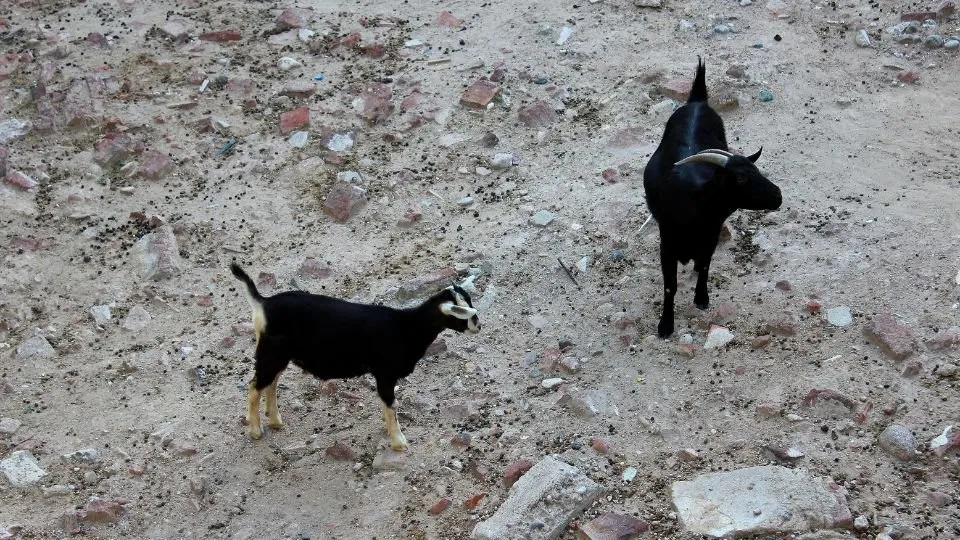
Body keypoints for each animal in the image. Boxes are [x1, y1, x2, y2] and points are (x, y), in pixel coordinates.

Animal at [230, 263, 481, 451]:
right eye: (463, 313)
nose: (478, 326)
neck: (406, 327)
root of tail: (263, 303)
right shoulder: (385, 374)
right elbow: (391, 404)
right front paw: (399, 442)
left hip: (279, 356)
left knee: (270, 384)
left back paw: (275, 421)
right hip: (272, 354)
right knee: (255, 386)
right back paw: (255, 431)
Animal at [643, 58, 783, 338]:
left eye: (757, 171)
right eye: (740, 179)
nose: (778, 195)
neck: (693, 205)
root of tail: (698, 100)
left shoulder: (711, 236)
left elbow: (706, 266)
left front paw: (701, 299)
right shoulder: (668, 245)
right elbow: (670, 285)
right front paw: (665, 325)